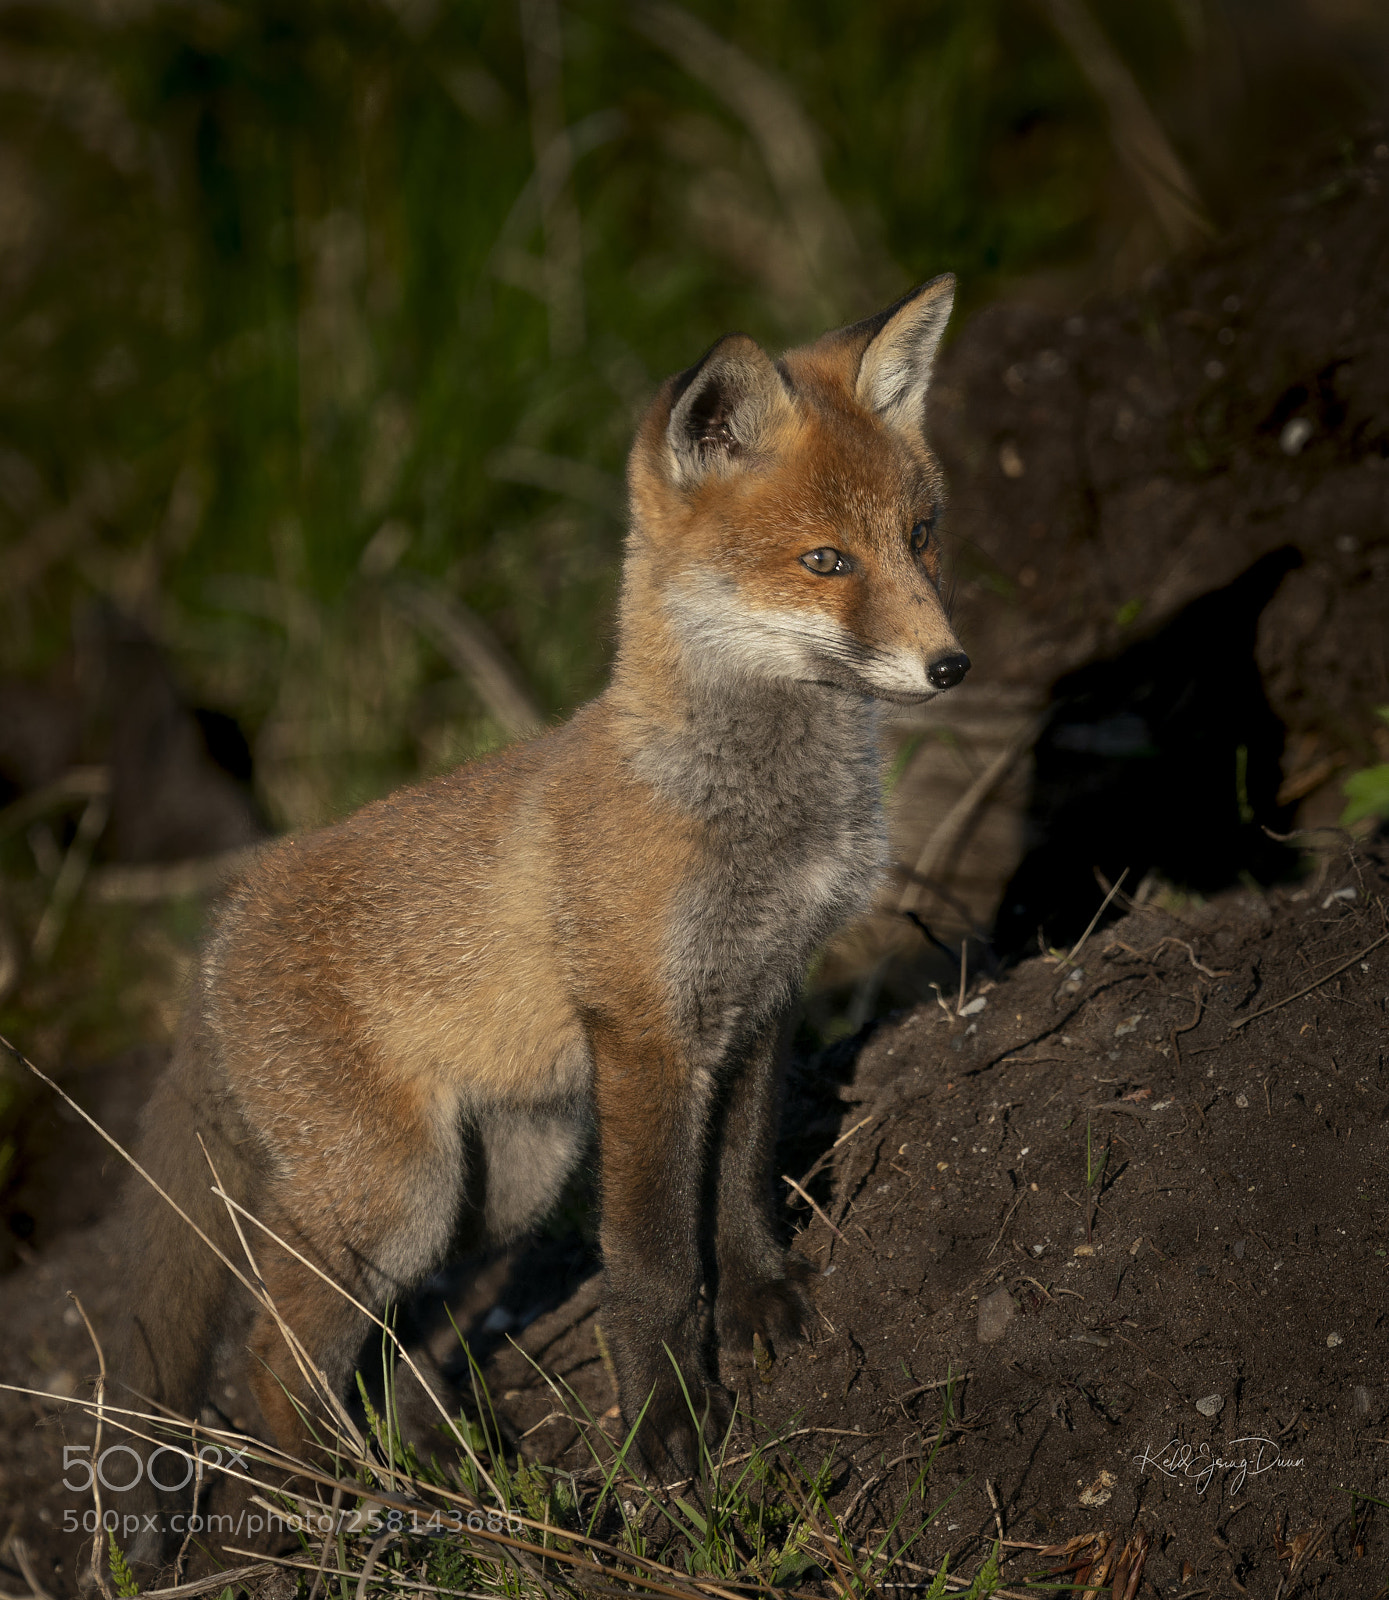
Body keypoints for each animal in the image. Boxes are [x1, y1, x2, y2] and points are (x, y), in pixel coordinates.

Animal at [111, 274, 969, 1532]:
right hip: (401, 1192)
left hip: (503, 1183)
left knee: (388, 1327)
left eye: (918, 538)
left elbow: (742, 1184)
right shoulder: (646, 1033)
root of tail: (218, 934)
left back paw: (419, 1442)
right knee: (271, 1358)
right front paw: (664, 1429)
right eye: (824, 561)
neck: (755, 815)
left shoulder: (762, 996)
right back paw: (352, 1500)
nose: (951, 665)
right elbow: (649, 1263)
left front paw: (761, 1307)